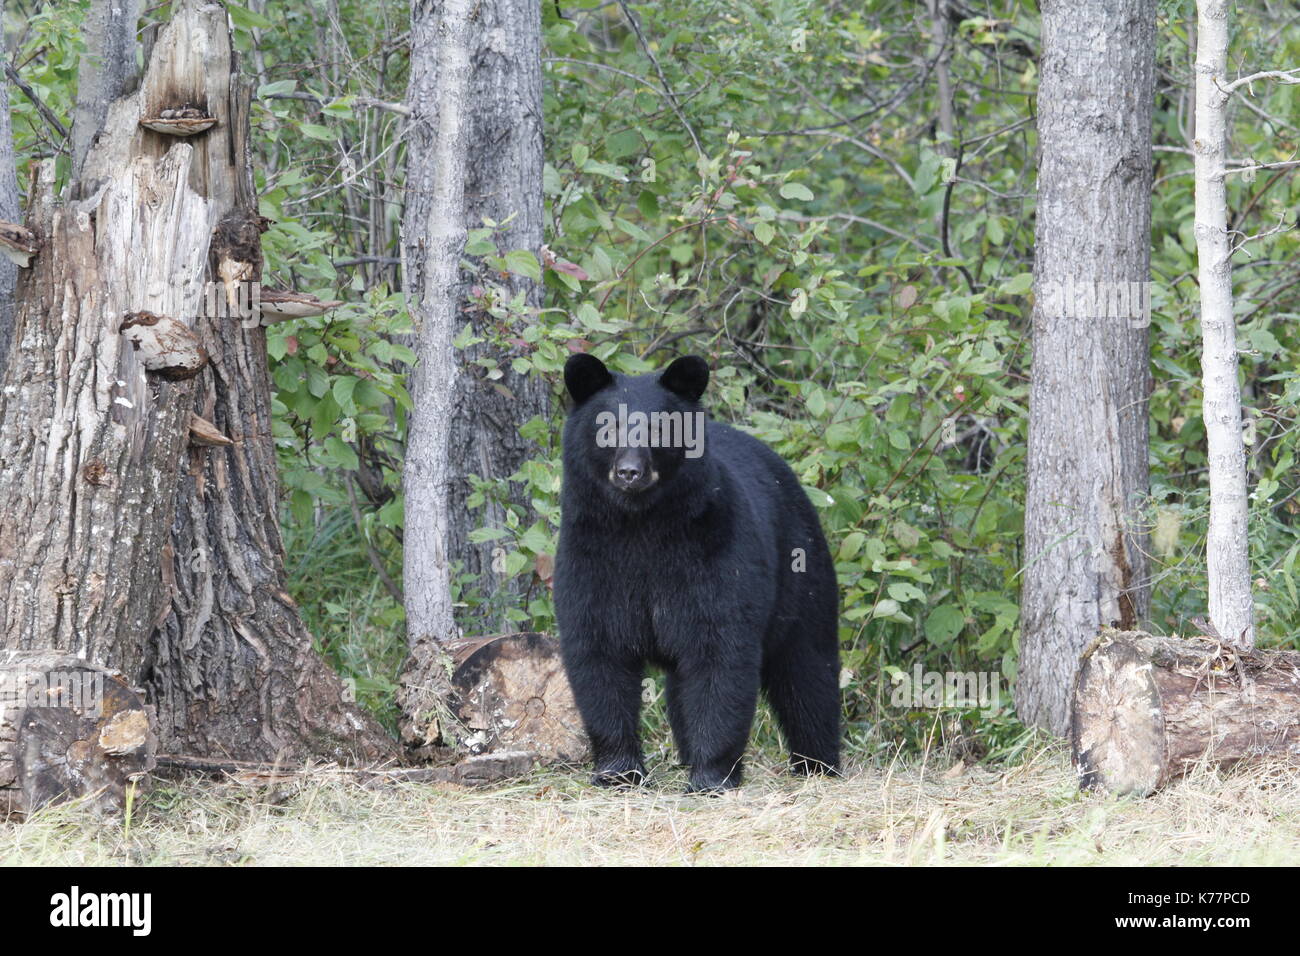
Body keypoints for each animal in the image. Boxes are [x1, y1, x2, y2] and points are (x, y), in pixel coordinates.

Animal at [551, 353, 837, 790]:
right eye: (608, 427)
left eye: (658, 428)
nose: (629, 472)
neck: (640, 525)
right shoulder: (590, 555)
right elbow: (598, 650)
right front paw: (617, 770)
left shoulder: (713, 550)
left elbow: (719, 652)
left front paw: (712, 776)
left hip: (802, 576)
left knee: (809, 670)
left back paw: (818, 763)